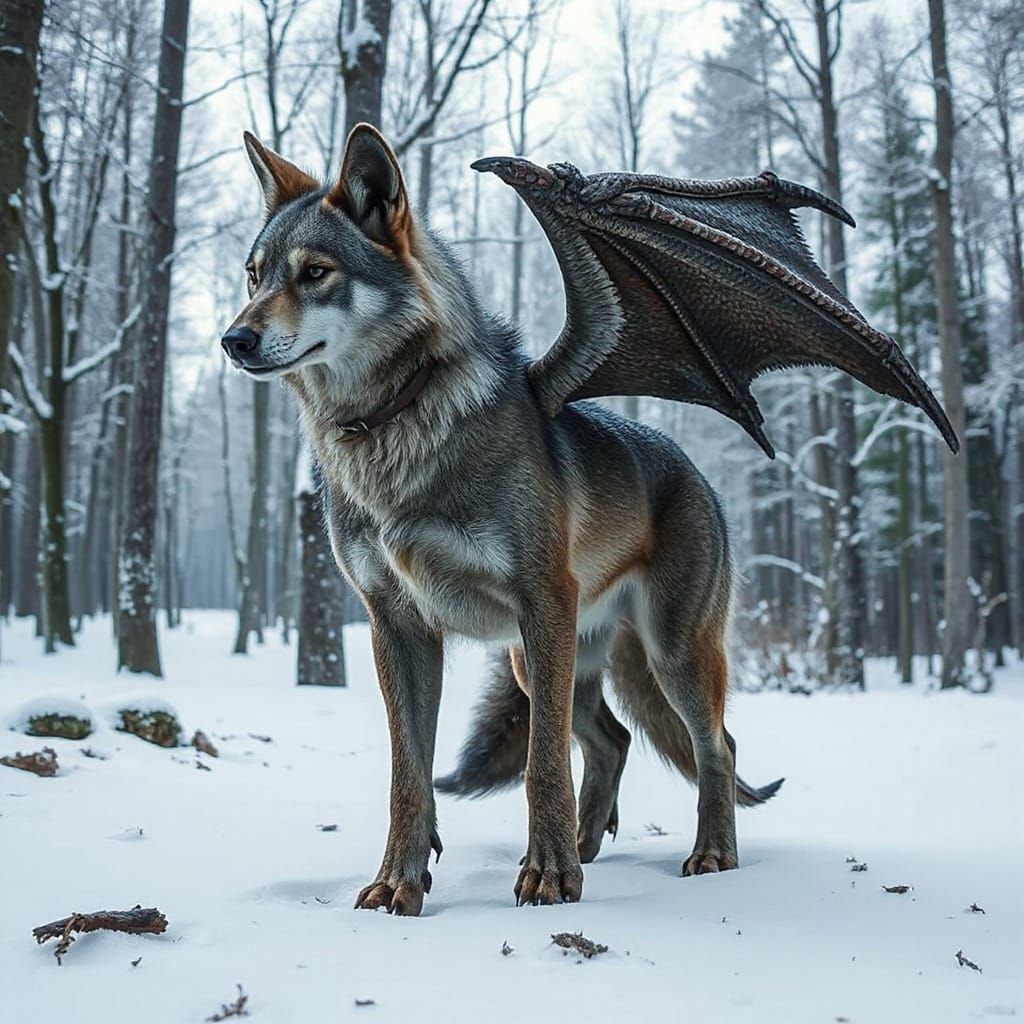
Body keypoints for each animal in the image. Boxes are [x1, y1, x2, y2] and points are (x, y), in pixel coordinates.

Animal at [222, 124, 957, 916]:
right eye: (254, 275)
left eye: (315, 273)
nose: (233, 341)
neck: (397, 428)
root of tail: (697, 475)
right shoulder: (397, 625)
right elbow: (408, 778)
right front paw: (400, 885)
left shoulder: (543, 602)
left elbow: (542, 763)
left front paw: (548, 880)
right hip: (548, 658)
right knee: (614, 740)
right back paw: (587, 843)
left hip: (666, 655)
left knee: (716, 747)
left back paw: (708, 857)